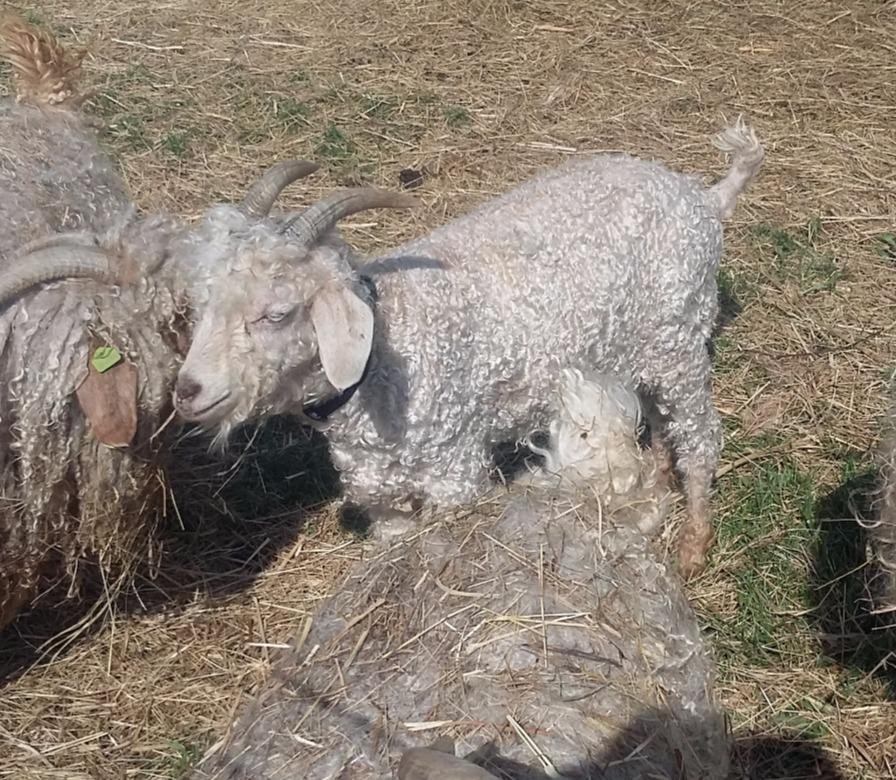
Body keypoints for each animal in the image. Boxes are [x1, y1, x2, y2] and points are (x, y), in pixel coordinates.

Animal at [173, 119, 764, 578]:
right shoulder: (381, 497)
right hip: (648, 352)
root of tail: (703, 198)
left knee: (701, 436)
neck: (388, 352)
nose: (187, 391)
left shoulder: (454, 474)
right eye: (201, 304)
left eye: (275, 313)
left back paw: (692, 546)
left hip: (681, 340)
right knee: (664, 424)